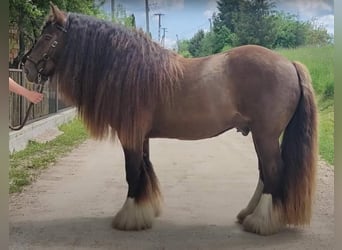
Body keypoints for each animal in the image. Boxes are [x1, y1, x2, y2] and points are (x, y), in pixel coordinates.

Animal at [23, 2, 318, 235]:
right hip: (260, 135)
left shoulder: (130, 136)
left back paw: (262, 222)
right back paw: (249, 214)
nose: (26, 68)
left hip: (265, 135)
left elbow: (133, 172)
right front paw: (145, 211)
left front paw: (129, 218)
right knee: (264, 174)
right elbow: (145, 170)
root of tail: (289, 64)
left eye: (47, 36)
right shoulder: (140, 136)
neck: (130, 71)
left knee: (273, 172)